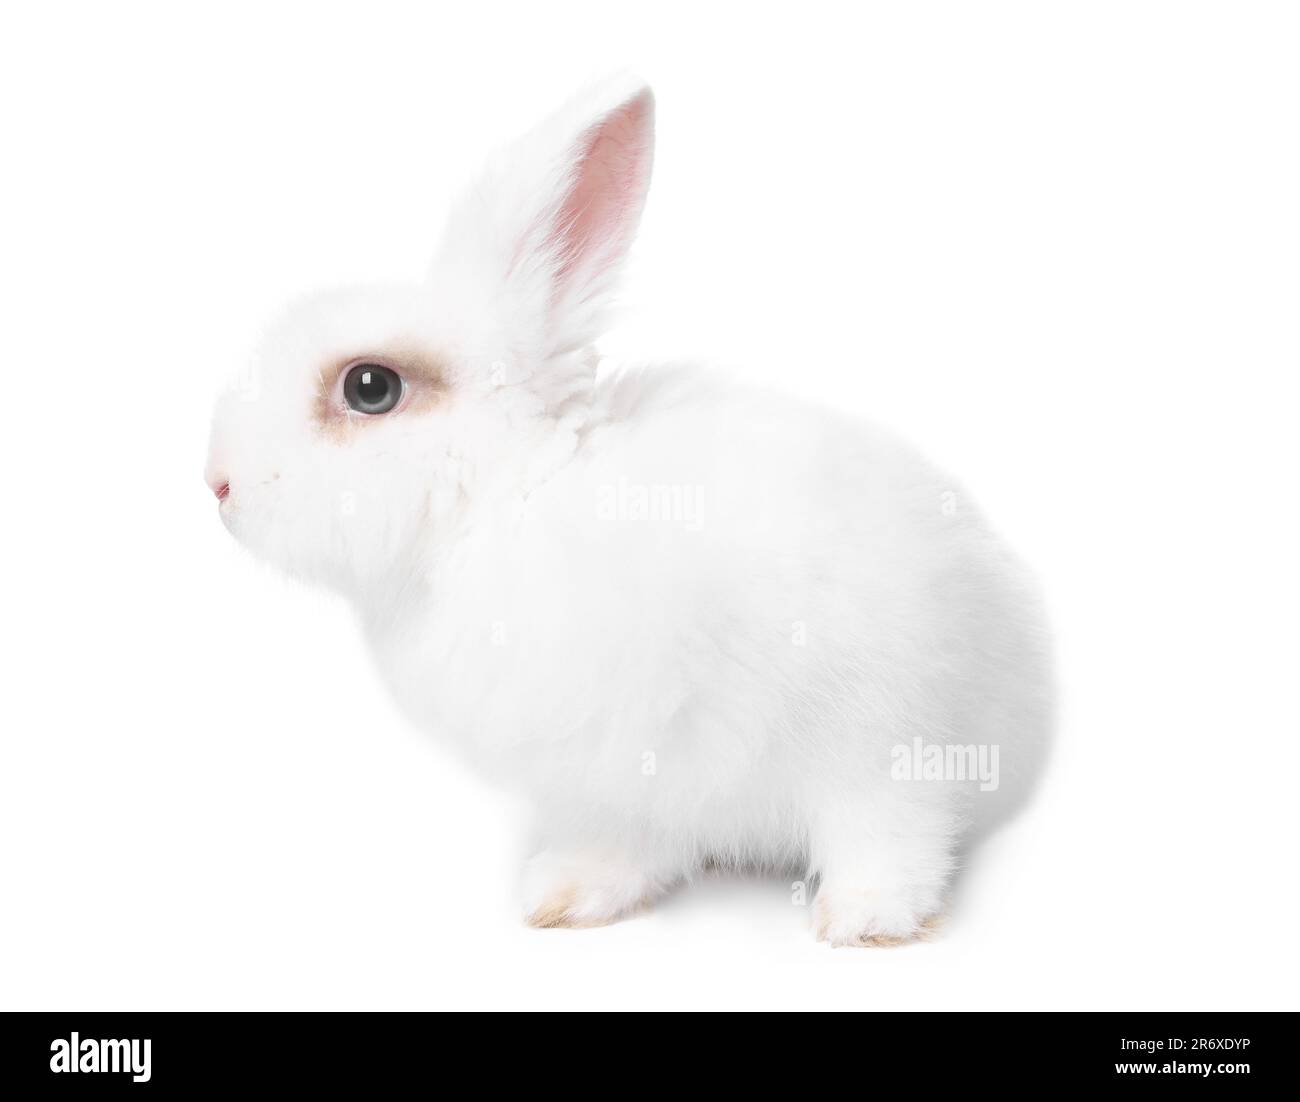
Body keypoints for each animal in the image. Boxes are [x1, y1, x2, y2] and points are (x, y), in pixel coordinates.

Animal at [205, 75, 1052, 946]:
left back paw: (866, 915)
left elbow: (884, 827)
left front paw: (865, 922)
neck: (513, 496)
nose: (218, 483)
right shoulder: (618, 782)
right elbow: (625, 844)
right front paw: (564, 896)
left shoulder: (864, 735)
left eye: (369, 388)